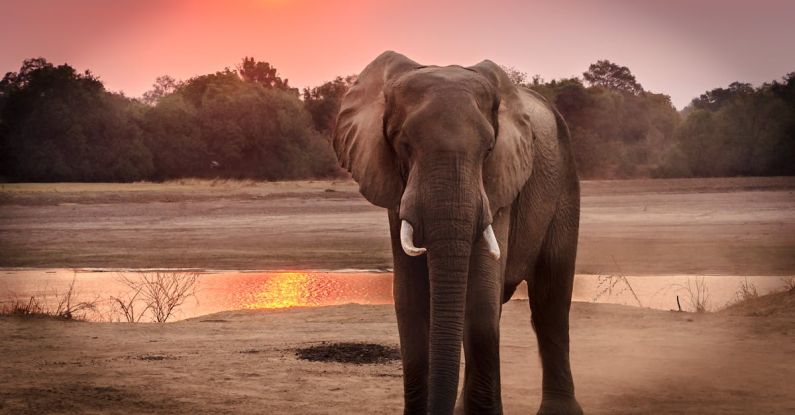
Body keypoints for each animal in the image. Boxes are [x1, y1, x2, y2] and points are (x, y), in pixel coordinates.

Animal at [332, 52, 580, 415]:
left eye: (489, 149)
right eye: (403, 144)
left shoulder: (500, 183)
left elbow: (479, 300)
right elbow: (410, 299)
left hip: (565, 180)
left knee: (551, 300)